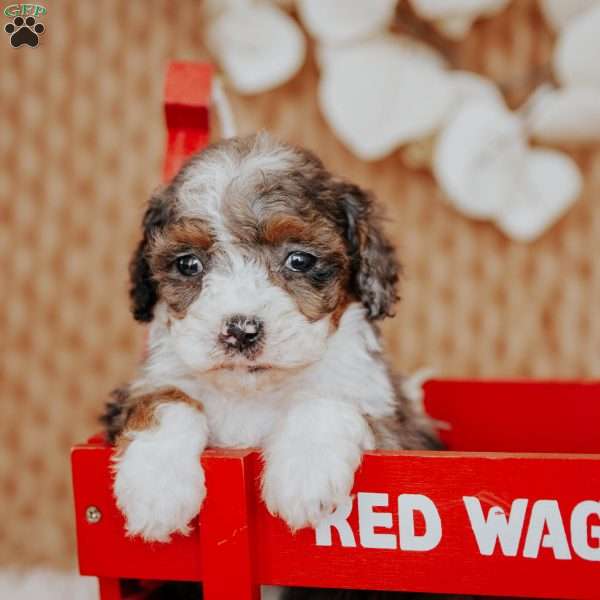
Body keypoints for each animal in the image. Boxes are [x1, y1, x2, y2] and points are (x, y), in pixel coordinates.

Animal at [103, 134, 440, 596]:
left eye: (300, 260)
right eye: (188, 263)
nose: (240, 330)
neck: (254, 392)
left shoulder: (396, 427)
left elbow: (328, 399)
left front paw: (304, 472)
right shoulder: (141, 389)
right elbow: (164, 400)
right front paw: (156, 486)